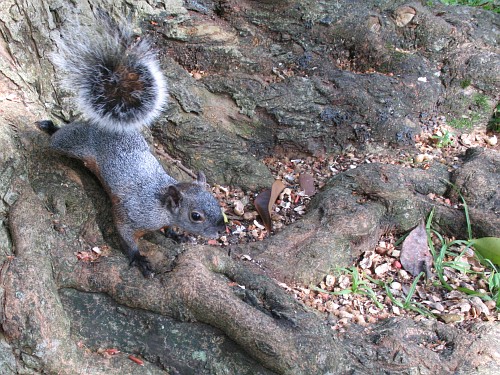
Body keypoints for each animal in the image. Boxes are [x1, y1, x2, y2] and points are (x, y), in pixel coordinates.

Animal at [38, 11, 226, 278]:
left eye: (215, 200)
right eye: (195, 216)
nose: (221, 230)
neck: (159, 202)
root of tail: (104, 124)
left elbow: (168, 228)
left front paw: (174, 234)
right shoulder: (130, 214)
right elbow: (126, 236)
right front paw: (139, 259)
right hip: (71, 142)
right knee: (60, 136)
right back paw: (50, 127)